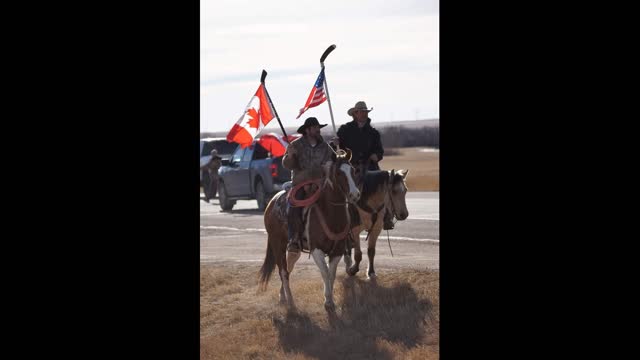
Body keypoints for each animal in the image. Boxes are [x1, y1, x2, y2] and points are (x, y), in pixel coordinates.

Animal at [258, 150, 360, 310]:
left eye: (353, 170)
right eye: (338, 173)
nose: (355, 194)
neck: (330, 214)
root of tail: (272, 202)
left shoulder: (337, 251)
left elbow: (331, 274)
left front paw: (329, 299)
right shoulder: (316, 250)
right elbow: (325, 272)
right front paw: (328, 301)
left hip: (293, 249)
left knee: (289, 266)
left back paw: (282, 296)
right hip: (277, 243)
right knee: (283, 271)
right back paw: (291, 302)